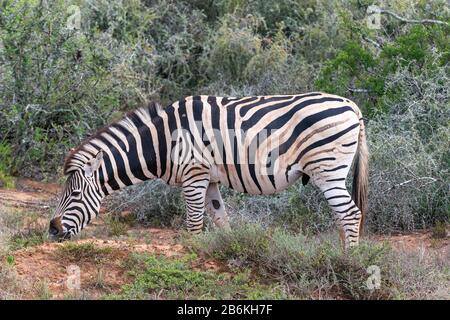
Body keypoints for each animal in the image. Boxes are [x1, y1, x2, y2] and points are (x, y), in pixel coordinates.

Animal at [49, 92, 368, 248]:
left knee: (351, 214)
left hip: (328, 170)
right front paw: (227, 251)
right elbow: (221, 220)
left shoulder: (194, 174)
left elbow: (193, 226)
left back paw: (348, 260)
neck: (164, 141)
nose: (52, 230)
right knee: (343, 216)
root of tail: (352, 105)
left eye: (74, 195)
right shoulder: (210, 179)